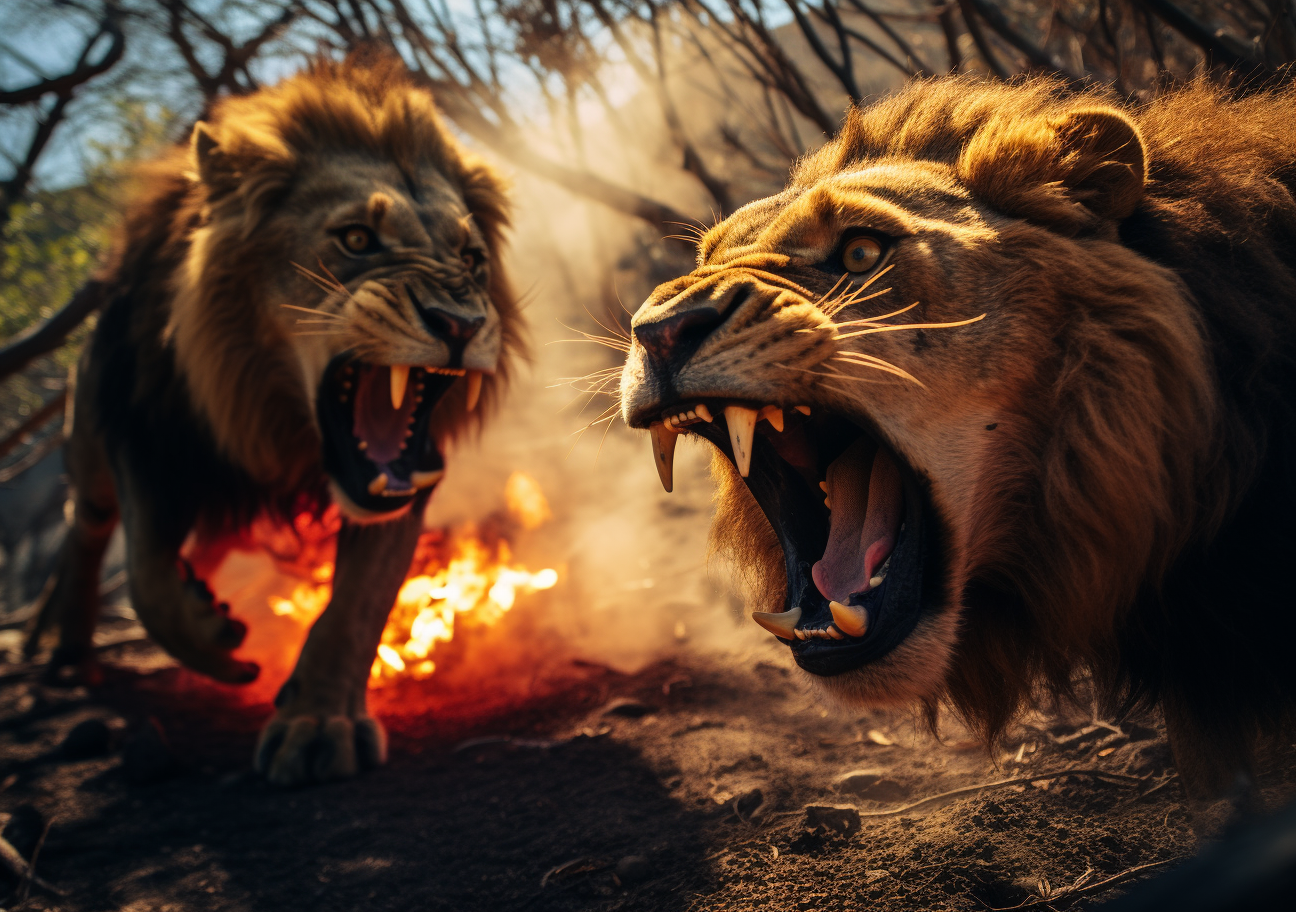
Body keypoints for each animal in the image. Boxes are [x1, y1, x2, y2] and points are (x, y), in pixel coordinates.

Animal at [26, 55, 520, 782]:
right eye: (356, 239)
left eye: (471, 259)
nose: (460, 324)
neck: (274, 419)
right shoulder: (149, 434)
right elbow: (146, 576)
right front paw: (212, 638)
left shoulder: (402, 482)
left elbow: (358, 604)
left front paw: (316, 723)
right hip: (88, 440)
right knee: (85, 530)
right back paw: (70, 653)